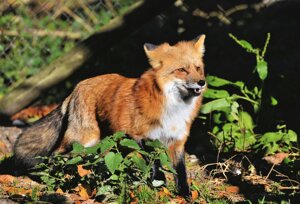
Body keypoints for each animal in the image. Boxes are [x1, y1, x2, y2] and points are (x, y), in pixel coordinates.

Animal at [13, 35, 206, 198]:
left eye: (198, 68)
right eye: (181, 70)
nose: (202, 82)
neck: (173, 109)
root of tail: (77, 86)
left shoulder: (177, 141)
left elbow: (181, 173)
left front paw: (185, 195)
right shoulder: (139, 136)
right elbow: (154, 164)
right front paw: (159, 185)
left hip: (111, 142)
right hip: (83, 138)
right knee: (55, 154)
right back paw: (55, 178)